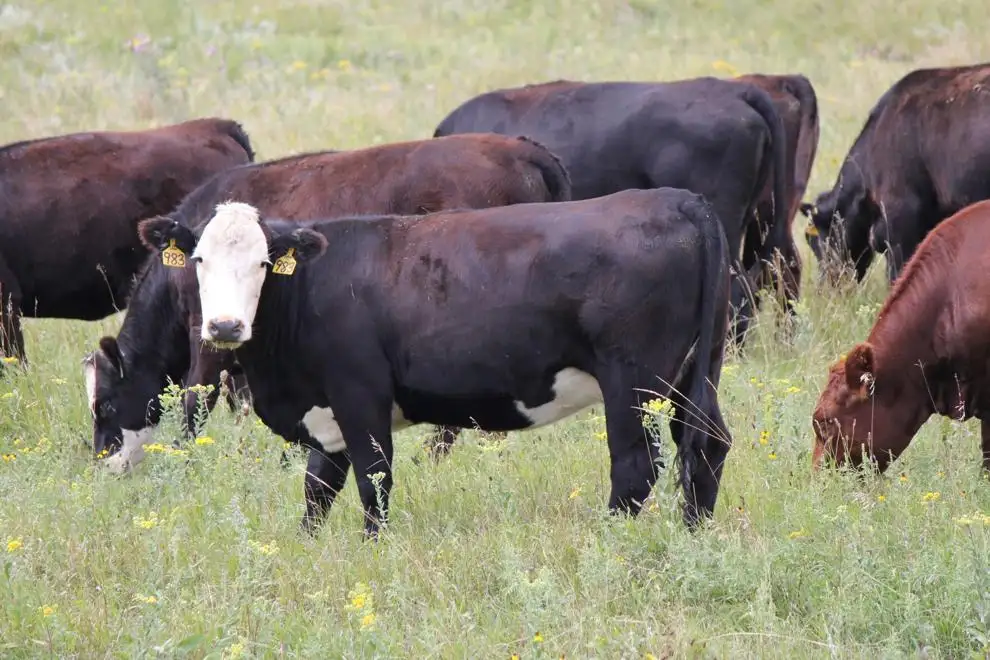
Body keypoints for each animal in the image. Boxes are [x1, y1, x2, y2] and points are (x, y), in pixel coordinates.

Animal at [82, 133, 573, 472]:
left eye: (104, 405)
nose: (105, 465)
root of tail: (525, 149)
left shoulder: (209, 328)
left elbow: (195, 400)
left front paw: (187, 459)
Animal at [135, 189, 734, 538]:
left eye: (263, 263)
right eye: (198, 259)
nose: (224, 327)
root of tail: (678, 199)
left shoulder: (359, 393)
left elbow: (373, 479)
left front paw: (374, 548)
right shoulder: (328, 413)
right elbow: (317, 488)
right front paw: (308, 548)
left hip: (633, 382)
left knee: (637, 464)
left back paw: (610, 544)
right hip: (692, 373)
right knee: (707, 445)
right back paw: (695, 537)